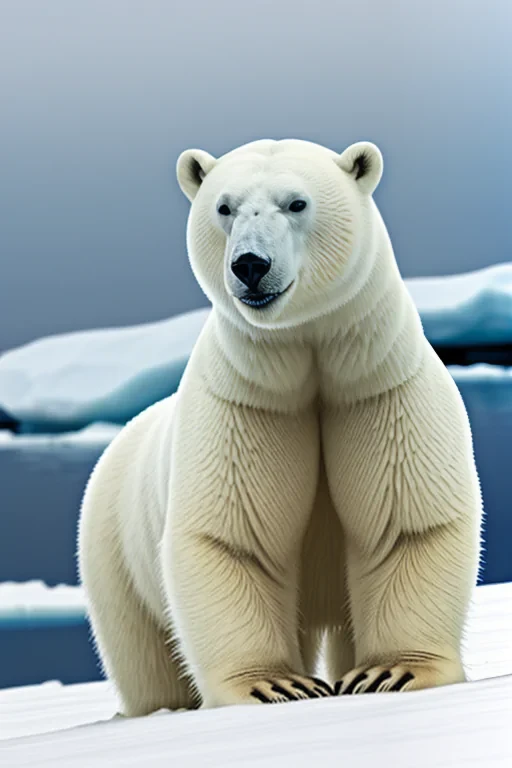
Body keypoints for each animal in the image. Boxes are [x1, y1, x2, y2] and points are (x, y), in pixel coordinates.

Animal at [78, 138, 482, 715]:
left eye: (296, 203)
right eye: (224, 207)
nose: (250, 264)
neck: (310, 360)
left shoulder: (381, 391)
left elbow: (403, 527)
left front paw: (391, 672)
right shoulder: (247, 409)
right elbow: (234, 540)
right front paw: (274, 685)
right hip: (114, 550)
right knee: (147, 659)